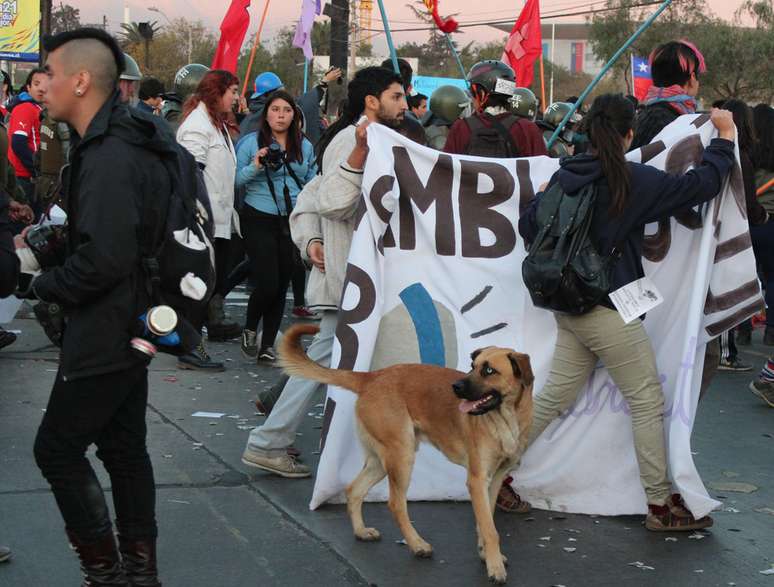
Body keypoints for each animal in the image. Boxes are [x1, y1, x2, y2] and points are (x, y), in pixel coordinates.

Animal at [278, 324, 532, 584]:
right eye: (473, 366)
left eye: (489, 370)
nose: (456, 387)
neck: (506, 418)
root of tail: (372, 377)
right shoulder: (477, 480)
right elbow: (491, 529)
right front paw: (495, 567)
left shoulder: (494, 480)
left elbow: (486, 521)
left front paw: (486, 555)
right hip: (402, 456)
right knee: (396, 504)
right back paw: (417, 544)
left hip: (381, 461)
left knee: (354, 489)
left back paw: (361, 532)